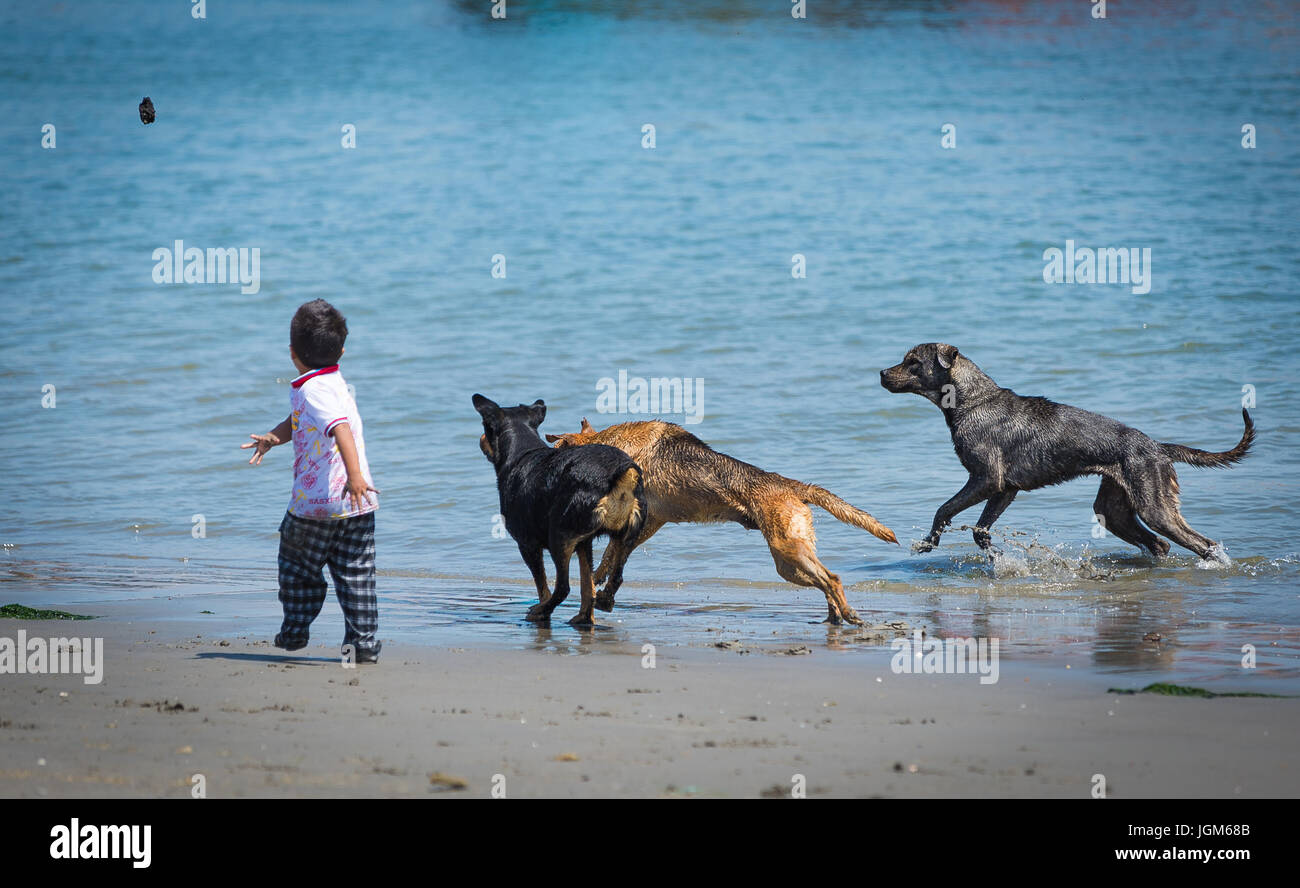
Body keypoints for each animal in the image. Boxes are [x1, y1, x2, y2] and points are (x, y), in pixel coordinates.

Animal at [473, 395, 644, 624]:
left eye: (487, 428)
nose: (481, 438)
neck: (521, 451)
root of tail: (620, 473)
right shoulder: (584, 543)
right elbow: (587, 583)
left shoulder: (527, 544)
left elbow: (542, 585)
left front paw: (543, 609)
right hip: (627, 535)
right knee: (614, 578)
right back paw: (590, 612)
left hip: (559, 536)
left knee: (563, 587)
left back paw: (541, 611)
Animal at [543, 421, 899, 624]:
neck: (611, 443)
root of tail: (793, 486)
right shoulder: (651, 522)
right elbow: (612, 559)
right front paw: (600, 586)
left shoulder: (645, 519)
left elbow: (613, 556)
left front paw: (600, 590)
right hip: (793, 555)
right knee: (826, 579)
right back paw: (835, 617)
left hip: (787, 555)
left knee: (832, 579)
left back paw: (847, 615)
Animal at [878, 343, 1253, 561]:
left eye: (913, 362)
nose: (881, 373)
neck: (972, 400)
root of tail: (1158, 447)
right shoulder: (1004, 489)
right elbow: (980, 530)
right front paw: (995, 556)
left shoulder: (985, 479)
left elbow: (944, 509)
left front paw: (927, 543)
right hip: (1113, 509)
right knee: (1159, 545)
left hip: (1154, 506)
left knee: (1203, 545)